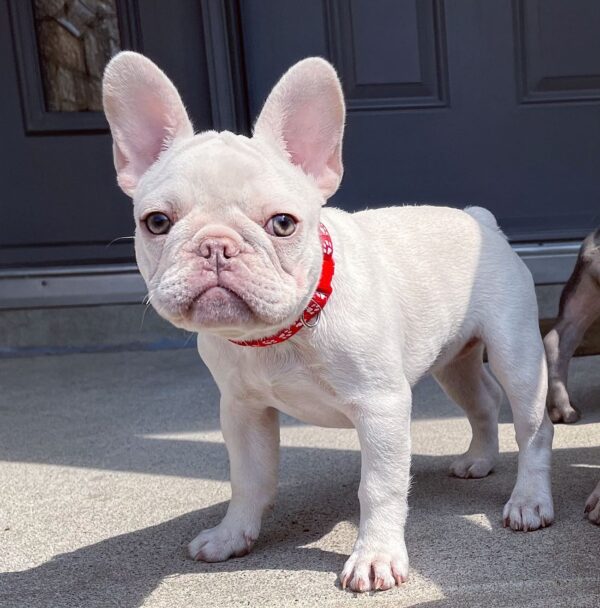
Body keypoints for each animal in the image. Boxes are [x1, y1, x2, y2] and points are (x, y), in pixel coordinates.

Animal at [102, 53, 552, 592]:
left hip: (517, 355)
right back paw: (479, 459)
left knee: (533, 426)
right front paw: (232, 535)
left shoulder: (382, 408)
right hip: (453, 363)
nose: (216, 246)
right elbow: (248, 479)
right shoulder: (242, 410)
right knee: (481, 400)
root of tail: (479, 219)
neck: (282, 334)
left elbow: (378, 488)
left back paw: (529, 501)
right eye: (156, 223)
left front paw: (375, 557)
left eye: (282, 223)